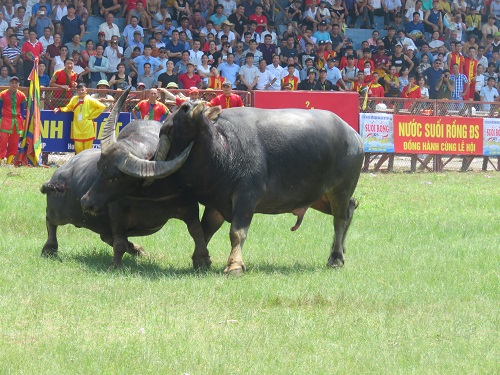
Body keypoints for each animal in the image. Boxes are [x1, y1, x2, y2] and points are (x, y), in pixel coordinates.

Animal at [119, 100, 366, 276]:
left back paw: (336, 258)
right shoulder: (216, 203)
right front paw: (200, 259)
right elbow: (204, 230)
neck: (222, 152)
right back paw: (340, 251)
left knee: (339, 219)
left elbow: (237, 233)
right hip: (318, 196)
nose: (190, 104)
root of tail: (354, 135)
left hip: (340, 188)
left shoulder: (246, 197)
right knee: (350, 209)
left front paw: (234, 266)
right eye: (170, 125)